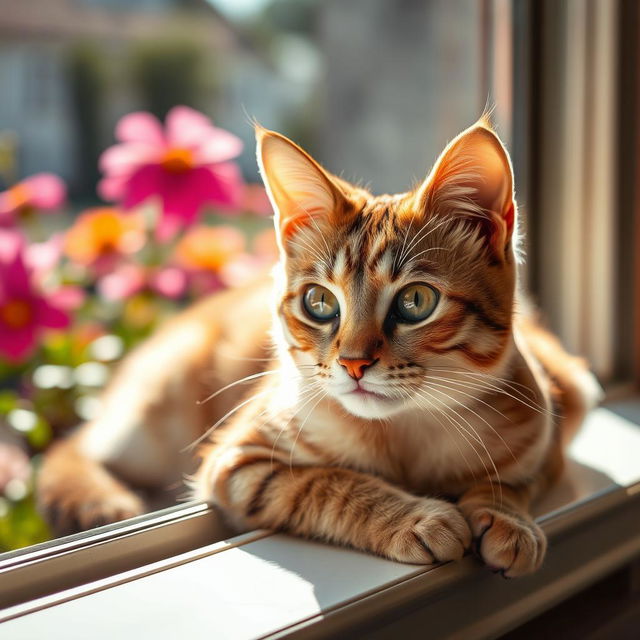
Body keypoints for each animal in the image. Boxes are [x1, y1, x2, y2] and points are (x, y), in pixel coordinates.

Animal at [38, 117, 600, 576]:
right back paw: (96, 497)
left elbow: (513, 480)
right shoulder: (240, 462)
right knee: (76, 443)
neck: (404, 434)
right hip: (158, 410)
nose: (353, 362)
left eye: (416, 301)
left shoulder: (548, 430)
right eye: (319, 302)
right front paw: (413, 517)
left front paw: (505, 516)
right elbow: (329, 482)